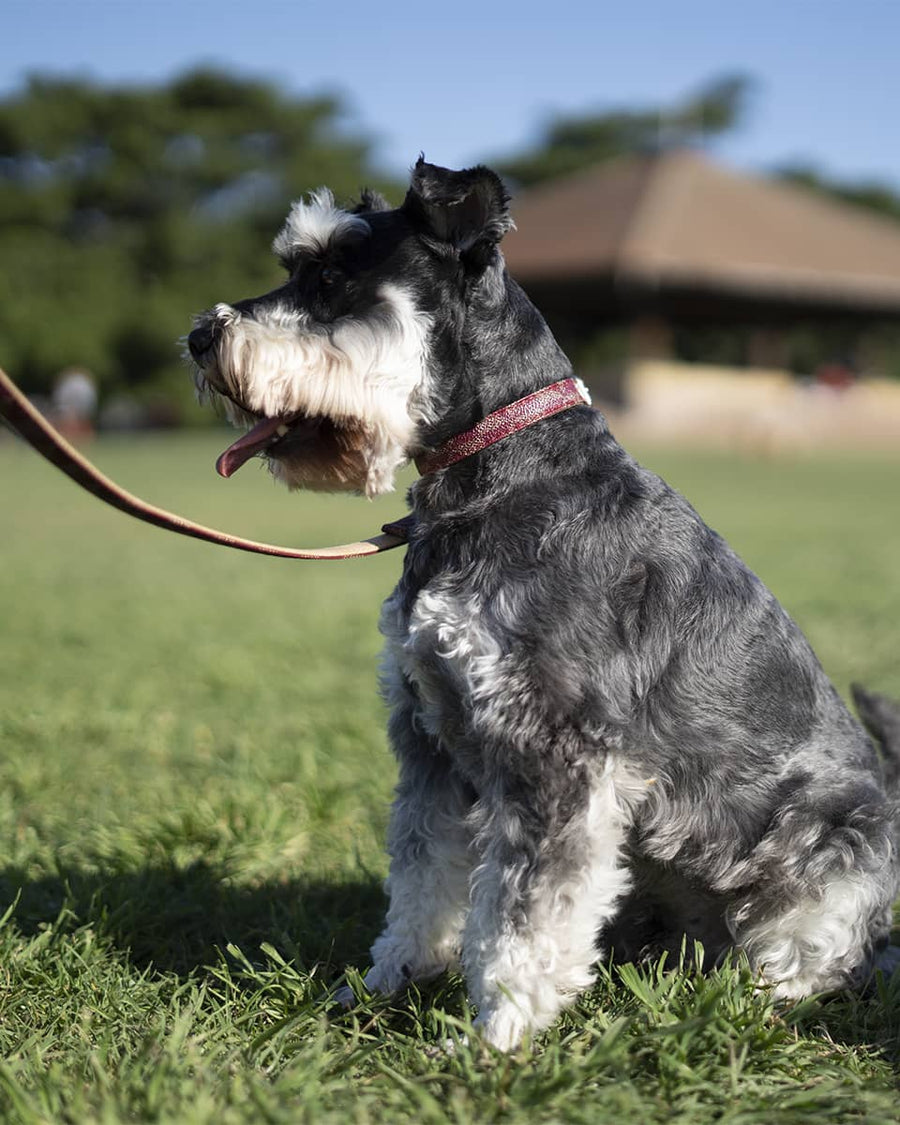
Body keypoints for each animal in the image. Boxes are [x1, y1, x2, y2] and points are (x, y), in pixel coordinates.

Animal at [187, 160, 900, 1053]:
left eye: (330, 278)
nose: (199, 336)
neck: (503, 475)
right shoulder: (431, 740)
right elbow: (421, 880)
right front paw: (380, 985)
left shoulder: (557, 756)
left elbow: (524, 920)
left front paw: (495, 1038)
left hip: (830, 849)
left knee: (820, 961)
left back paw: (747, 1002)